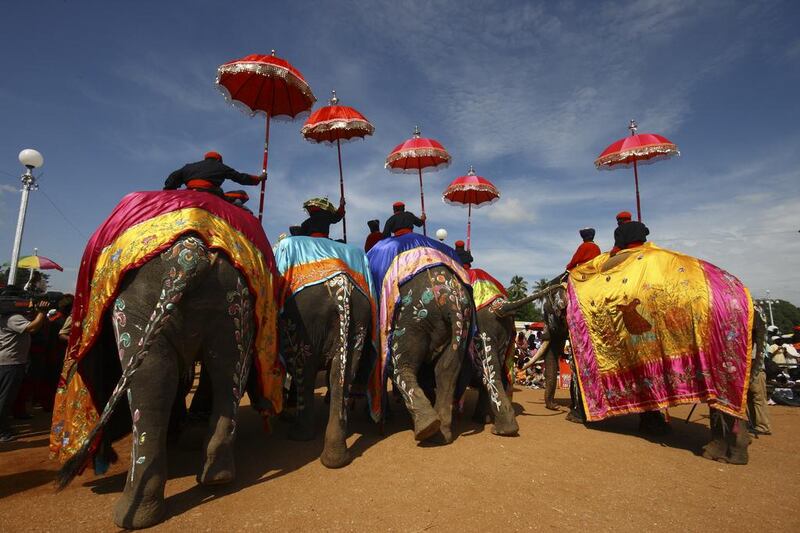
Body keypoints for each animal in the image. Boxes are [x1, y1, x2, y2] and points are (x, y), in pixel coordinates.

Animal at [50, 192, 282, 528]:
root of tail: (190, 250)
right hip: (226, 291)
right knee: (219, 370)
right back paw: (210, 480)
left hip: (147, 296)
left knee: (157, 379)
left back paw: (135, 511)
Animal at [274, 236, 376, 466]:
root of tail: (342, 284)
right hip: (360, 317)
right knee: (343, 373)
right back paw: (336, 459)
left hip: (304, 319)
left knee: (305, 369)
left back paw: (299, 435)